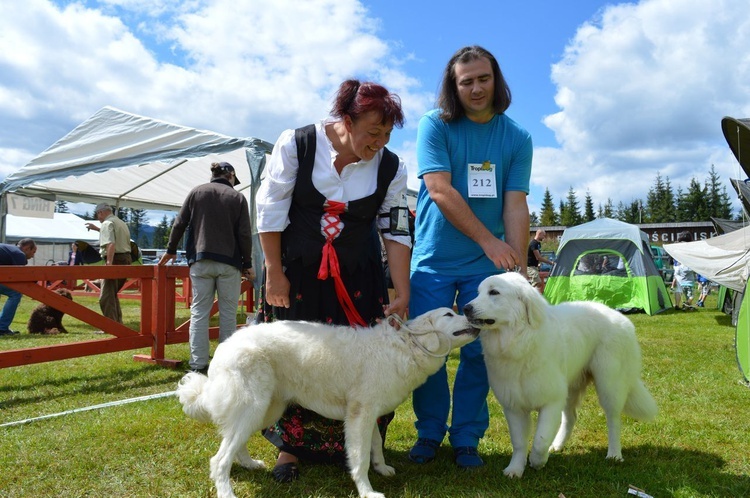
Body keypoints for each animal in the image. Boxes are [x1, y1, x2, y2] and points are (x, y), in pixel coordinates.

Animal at [177, 308, 482, 498]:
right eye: (449, 314)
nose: (469, 310)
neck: (405, 346)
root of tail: (225, 345)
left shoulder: (370, 414)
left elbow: (375, 447)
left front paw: (382, 469)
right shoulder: (359, 416)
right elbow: (359, 458)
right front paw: (367, 491)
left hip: (265, 409)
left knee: (233, 443)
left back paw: (250, 464)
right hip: (254, 407)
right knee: (219, 459)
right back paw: (227, 491)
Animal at [464, 272, 656, 478]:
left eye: (494, 292)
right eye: (479, 292)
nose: (466, 308)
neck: (519, 342)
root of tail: (619, 317)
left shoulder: (551, 401)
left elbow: (540, 440)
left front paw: (537, 461)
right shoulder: (513, 405)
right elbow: (519, 442)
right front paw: (515, 469)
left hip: (609, 384)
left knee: (613, 419)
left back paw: (614, 454)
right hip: (571, 387)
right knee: (571, 417)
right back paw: (557, 445)